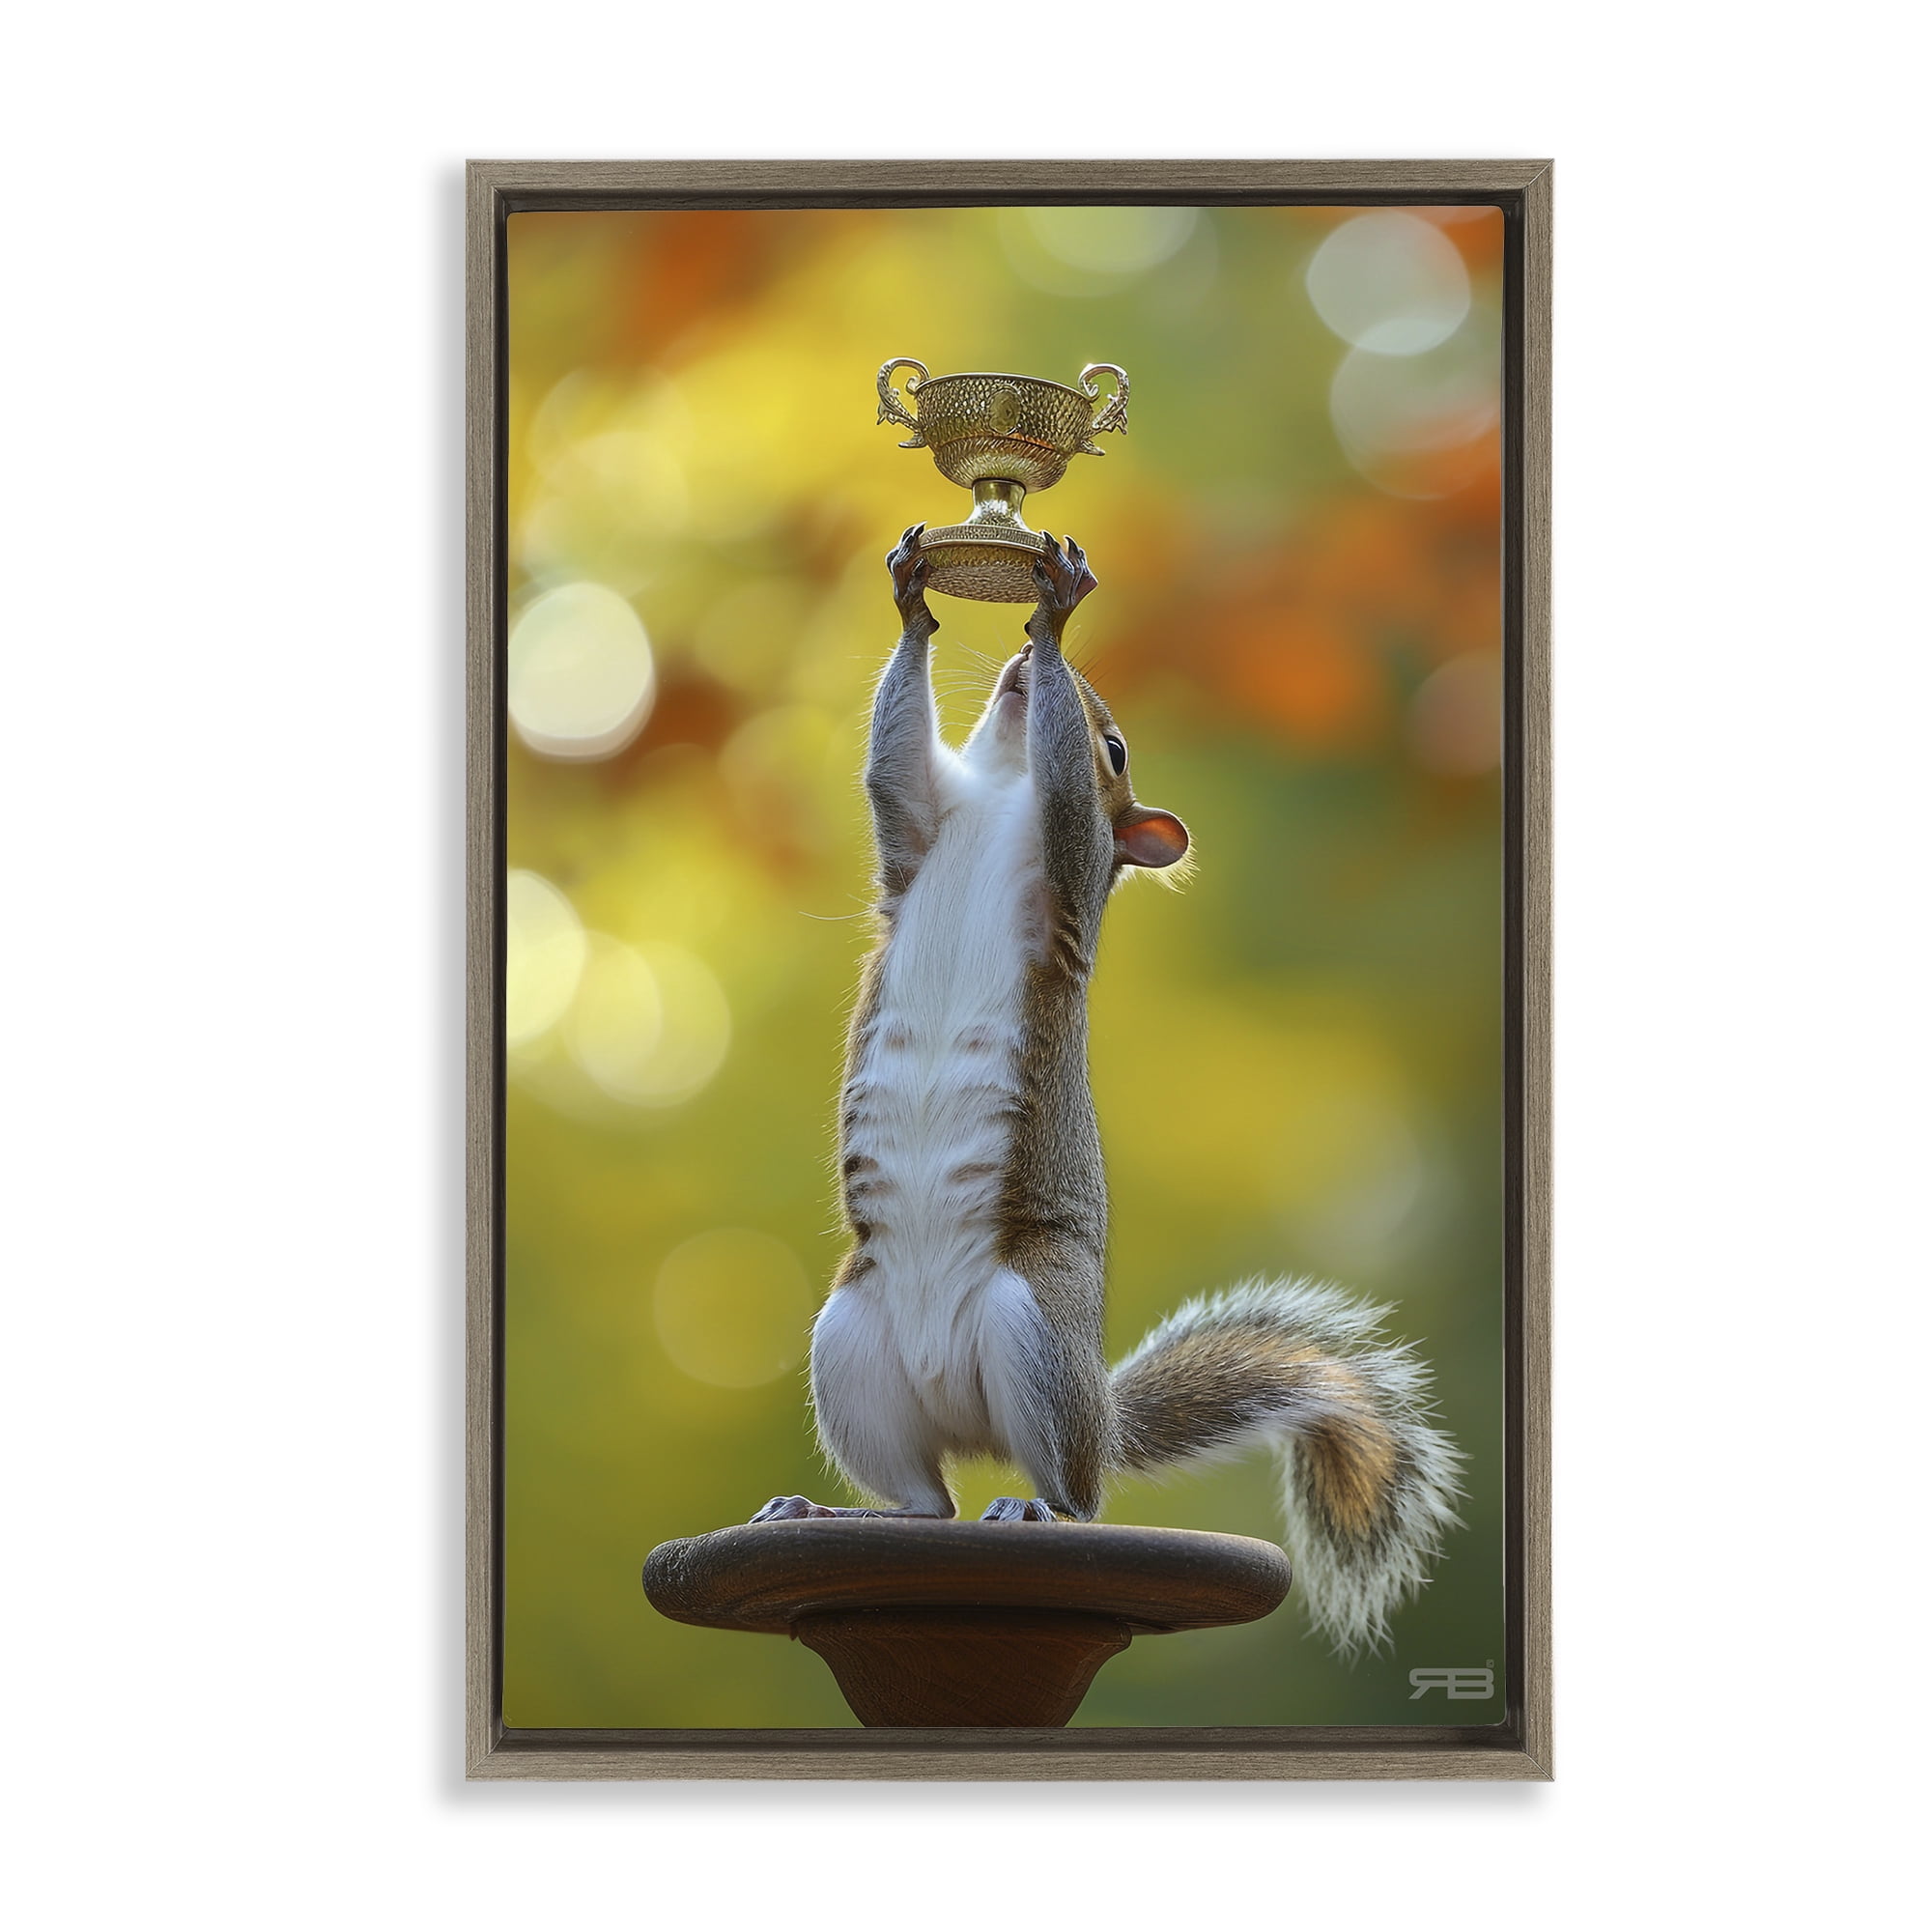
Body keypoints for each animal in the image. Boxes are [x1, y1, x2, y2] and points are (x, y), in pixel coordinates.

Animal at [753, 525, 1464, 1654]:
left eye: (1119, 750)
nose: (1017, 668)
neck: (996, 795)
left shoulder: (1069, 856)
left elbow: (1064, 801)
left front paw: (1054, 616)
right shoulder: (917, 829)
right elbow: (890, 763)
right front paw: (916, 601)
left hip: (1033, 1328)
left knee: (1070, 1499)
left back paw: (1035, 1508)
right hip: (850, 1349)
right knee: (927, 1505)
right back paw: (836, 1511)